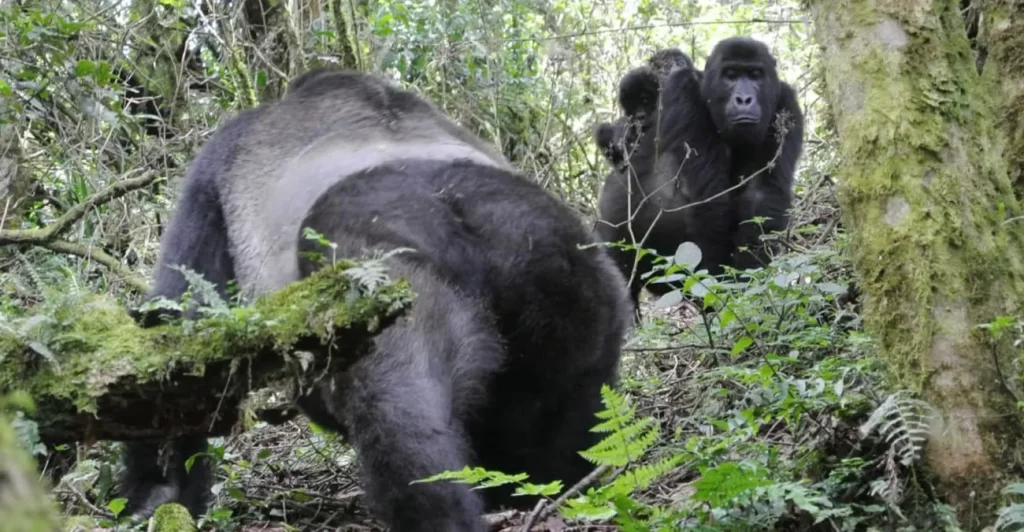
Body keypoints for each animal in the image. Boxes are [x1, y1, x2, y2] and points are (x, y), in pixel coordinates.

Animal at [119, 68, 630, 527]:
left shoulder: (214, 162)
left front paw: (157, 491)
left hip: (382, 280)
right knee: (569, 421)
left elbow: (175, 328)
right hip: (575, 277)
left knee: (400, 414)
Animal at [598, 37, 802, 308]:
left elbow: (761, 195)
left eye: (755, 74)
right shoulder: (683, 88)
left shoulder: (786, 102)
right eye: (730, 75)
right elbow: (707, 197)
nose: (744, 99)